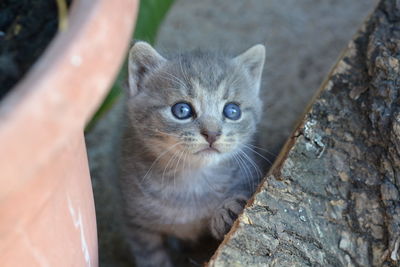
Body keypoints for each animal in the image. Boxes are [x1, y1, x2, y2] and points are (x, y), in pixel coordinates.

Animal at [119, 42, 266, 267]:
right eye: (182, 110)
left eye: (232, 111)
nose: (212, 133)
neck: (193, 182)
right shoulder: (137, 224)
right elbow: (152, 258)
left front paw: (230, 210)